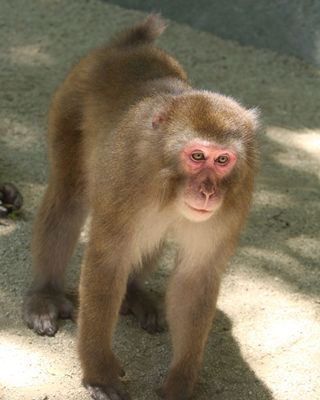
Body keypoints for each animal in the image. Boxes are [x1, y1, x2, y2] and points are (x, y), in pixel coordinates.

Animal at [21, 14, 258, 400]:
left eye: (223, 160)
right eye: (197, 156)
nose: (208, 191)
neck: (169, 184)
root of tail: (129, 46)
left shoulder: (234, 203)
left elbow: (195, 278)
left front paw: (180, 383)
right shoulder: (126, 179)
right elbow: (107, 263)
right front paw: (100, 373)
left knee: (154, 234)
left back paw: (134, 294)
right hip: (71, 101)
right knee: (69, 197)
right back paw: (45, 294)